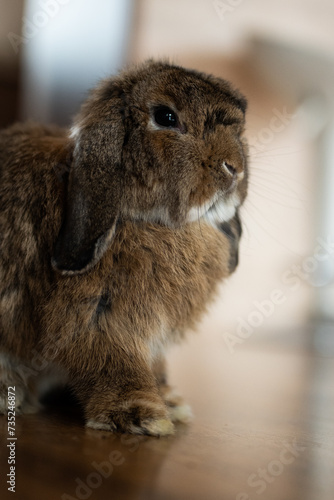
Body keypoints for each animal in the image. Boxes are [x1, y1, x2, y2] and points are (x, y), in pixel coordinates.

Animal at [0, 57, 247, 434]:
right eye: (166, 117)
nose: (234, 169)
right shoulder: (98, 319)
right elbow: (115, 365)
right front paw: (140, 416)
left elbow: (152, 366)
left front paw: (170, 402)